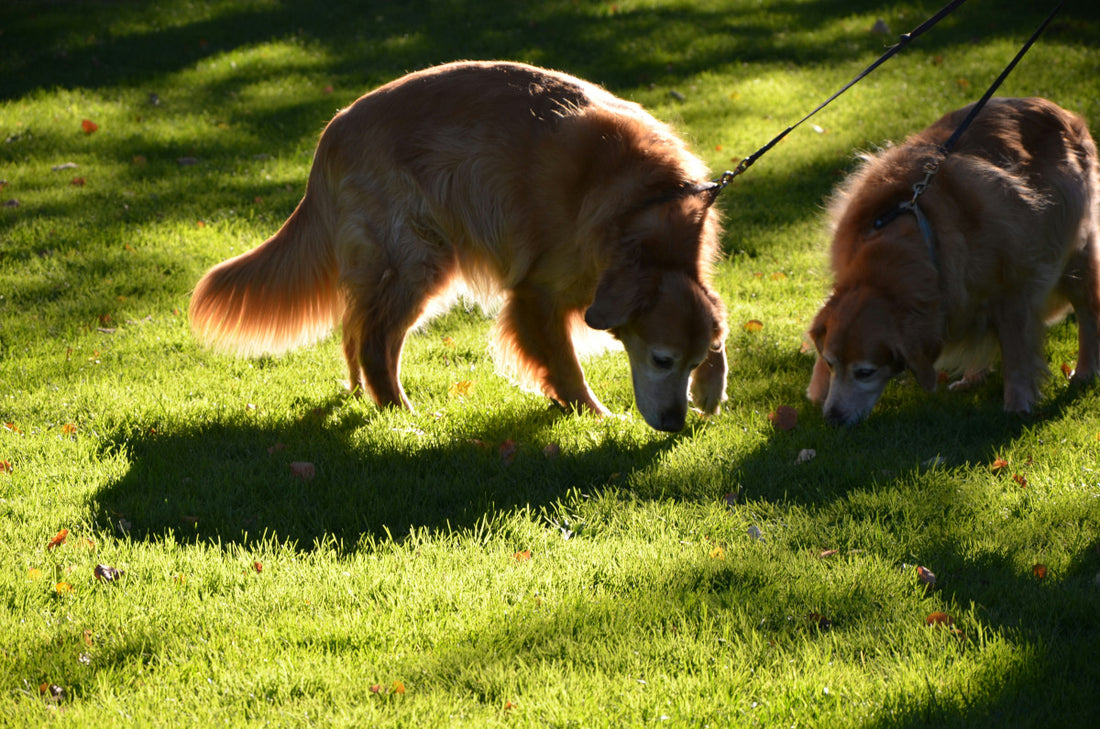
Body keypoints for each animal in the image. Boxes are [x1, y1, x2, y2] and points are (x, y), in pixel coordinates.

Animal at [190, 61, 726, 433]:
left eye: (691, 360)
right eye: (661, 359)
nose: (675, 424)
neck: (644, 211)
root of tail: (334, 129)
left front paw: (711, 389)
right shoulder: (537, 294)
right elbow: (566, 366)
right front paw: (595, 416)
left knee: (357, 330)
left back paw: (368, 396)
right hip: (417, 258)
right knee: (374, 341)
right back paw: (401, 414)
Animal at [809, 98, 1100, 428]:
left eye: (865, 372)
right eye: (830, 363)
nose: (832, 418)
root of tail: (1062, 111)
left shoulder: (1013, 290)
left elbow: (1015, 351)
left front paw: (1018, 403)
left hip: (1074, 253)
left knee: (1088, 313)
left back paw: (1086, 369)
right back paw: (973, 377)